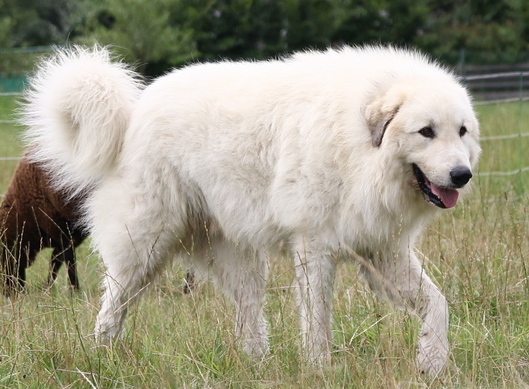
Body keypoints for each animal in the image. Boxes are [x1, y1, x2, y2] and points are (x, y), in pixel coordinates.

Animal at [0, 152, 86, 294]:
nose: (8, 293)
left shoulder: (62, 229)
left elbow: (68, 262)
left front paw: (75, 291)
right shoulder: (71, 234)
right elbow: (56, 260)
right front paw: (48, 288)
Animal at [22, 44, 480, 374]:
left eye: (461, 131)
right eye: (426, 132)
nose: (462, 175)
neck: (359, 144)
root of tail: (134, 113)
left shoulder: (381, 252)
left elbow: (438, 304)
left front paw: (433, 362)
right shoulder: (314, 248)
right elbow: (318, 321)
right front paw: (320, 370)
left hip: (239, 259)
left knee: (248, 317)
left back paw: (258, 364)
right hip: (145, 245)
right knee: (115, 301)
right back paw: (101, 354)